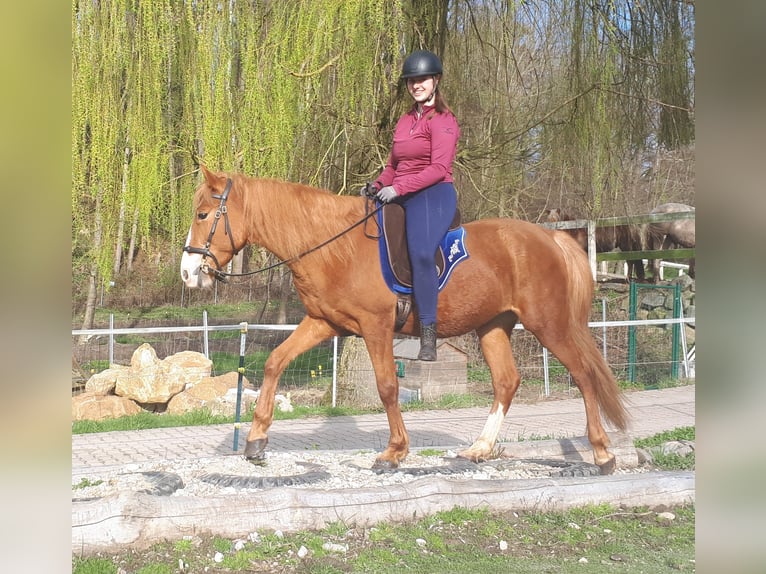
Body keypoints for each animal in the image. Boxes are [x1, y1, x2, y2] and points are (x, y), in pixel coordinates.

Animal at [182, 169, 632, 474]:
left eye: (203, 214)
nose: (188, 273)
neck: (335, 246)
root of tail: (551, 236)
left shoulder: (375, 327)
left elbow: (387, 387)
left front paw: (395, 451)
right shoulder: (324, 323)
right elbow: (276, 362)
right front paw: (256, 439)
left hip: (550, 324)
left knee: (584, 376)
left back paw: (602, 452)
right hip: (493, 327)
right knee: (507, 381)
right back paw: (479, 449)